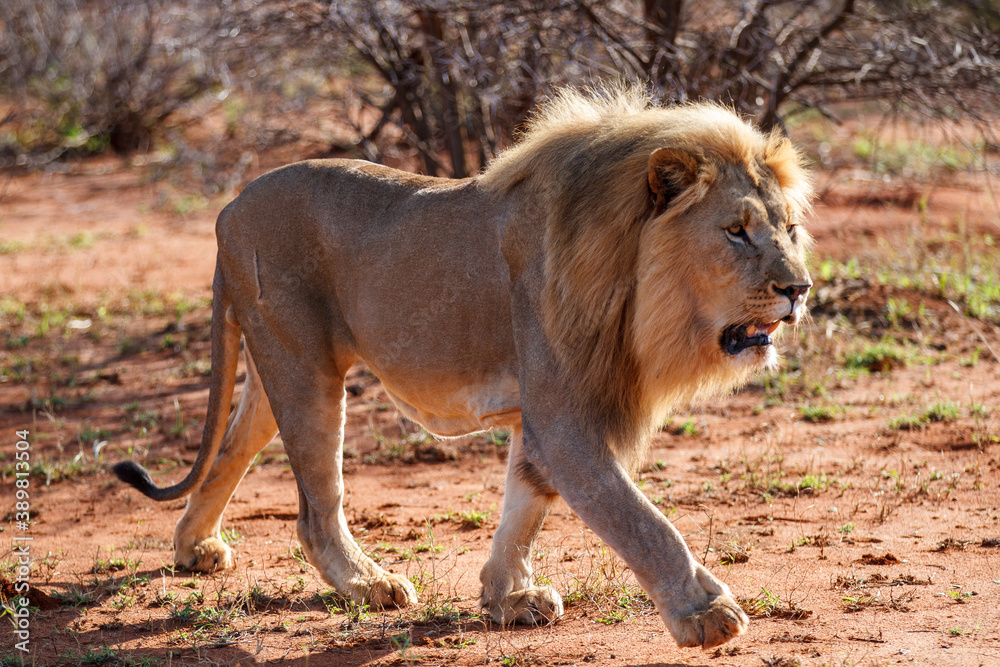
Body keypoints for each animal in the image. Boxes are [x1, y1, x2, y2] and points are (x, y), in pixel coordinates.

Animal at [113, 84, 812, 650]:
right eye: (736, 231)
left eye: (791, 229)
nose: (799, 288)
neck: (634, 282)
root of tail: (228, 210)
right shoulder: (566, 419)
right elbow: (640, 519)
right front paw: (705, 613)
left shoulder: (543, 415)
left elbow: (525, 502)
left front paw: (508, 597)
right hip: (305, 368)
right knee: (315, 507)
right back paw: (368, 584)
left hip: (273, 366)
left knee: (231, 450)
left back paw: (195, 548)